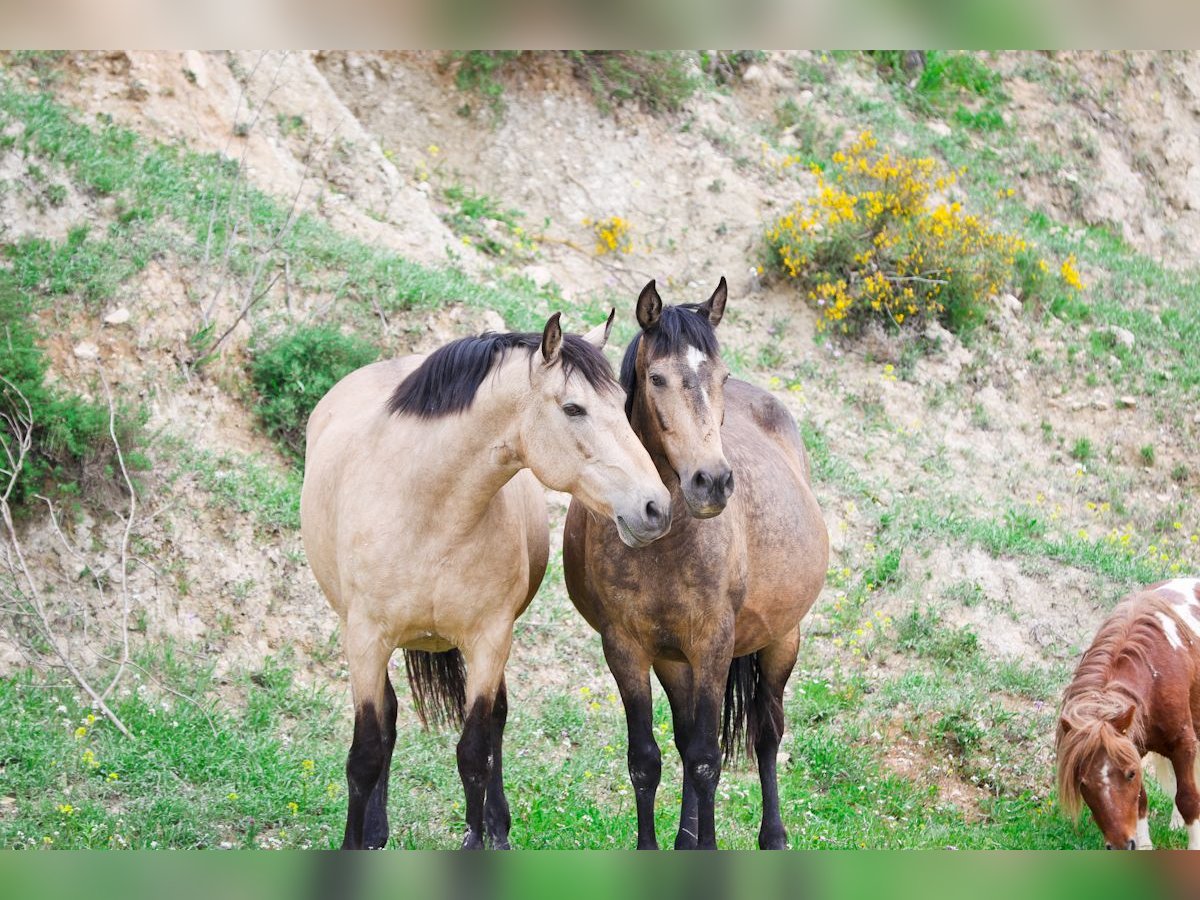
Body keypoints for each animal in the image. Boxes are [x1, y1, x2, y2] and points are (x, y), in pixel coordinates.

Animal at [561, 282, 825, 854]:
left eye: (720, 377)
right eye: (657, 378)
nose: (713, 482)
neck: (664, 545)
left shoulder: (713, 643)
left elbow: (708, 760)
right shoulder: (626, 648)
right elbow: (649, 760)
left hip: (781, 639)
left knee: (766, 733)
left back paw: (773, 836)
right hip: (674, 660)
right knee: (687, 740)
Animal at [1056, 580, 1200, 849]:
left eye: (1130, 774)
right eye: (1083, 783)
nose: (1121, 845)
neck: (1155, 675)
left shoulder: (1183, 743)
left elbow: (1188, 798)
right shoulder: (1133, 746)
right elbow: (1141, 801)